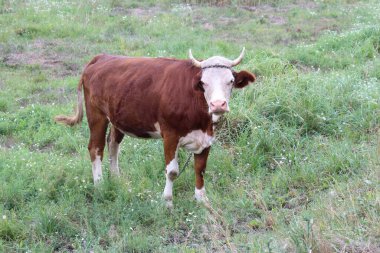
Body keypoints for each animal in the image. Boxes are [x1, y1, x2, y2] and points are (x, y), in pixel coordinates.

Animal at [55, 49, 255, 208]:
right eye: (204, 83)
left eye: (230, 81)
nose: (218, 104)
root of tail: (102, 57)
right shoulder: (170, 134)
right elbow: (172, 171)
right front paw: (167, 202)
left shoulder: (206, 137)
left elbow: (200, 168)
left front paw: (202, 200)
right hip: (96, 115)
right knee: (96, 148)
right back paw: (100, 185)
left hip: (117, 117)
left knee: (113, 145)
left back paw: (117, 179)